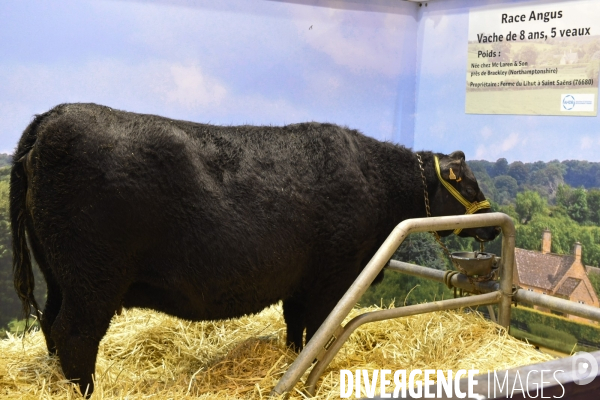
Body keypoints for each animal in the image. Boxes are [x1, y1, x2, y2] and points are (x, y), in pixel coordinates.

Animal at [11, 102, 500, 394]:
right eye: (469, 181)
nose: (493, 226)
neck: (375, 180)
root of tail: (55, 115)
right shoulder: (333, 277)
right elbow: (320, 329)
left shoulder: (302, 281)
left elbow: (297, 328)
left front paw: (292, 360)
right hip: (93, 279)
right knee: (75, 334)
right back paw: (84, 390)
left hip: (60, 275)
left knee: (51, 326)